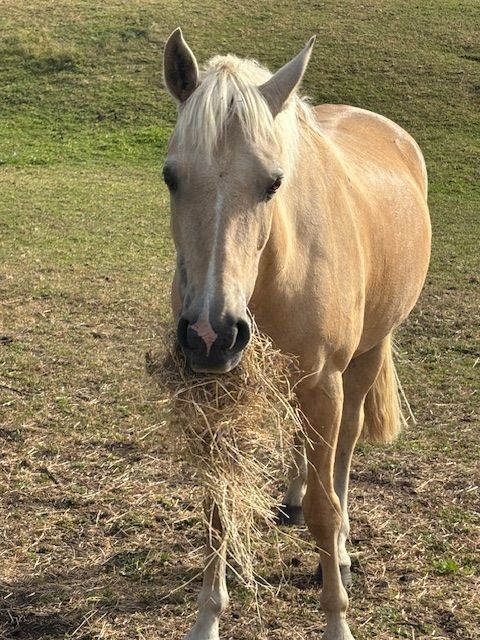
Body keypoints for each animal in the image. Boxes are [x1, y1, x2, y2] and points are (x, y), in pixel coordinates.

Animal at [162, 28, 431, 640]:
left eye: (273, 182)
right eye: (170, 176)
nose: (211, 333)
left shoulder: (324, 382)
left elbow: (324, 512)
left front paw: (336, 619)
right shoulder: (217, 390)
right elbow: (217, 502)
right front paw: (207, 616)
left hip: (365, 357)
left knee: (345, 450)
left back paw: (345, 544)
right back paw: (291, 494)